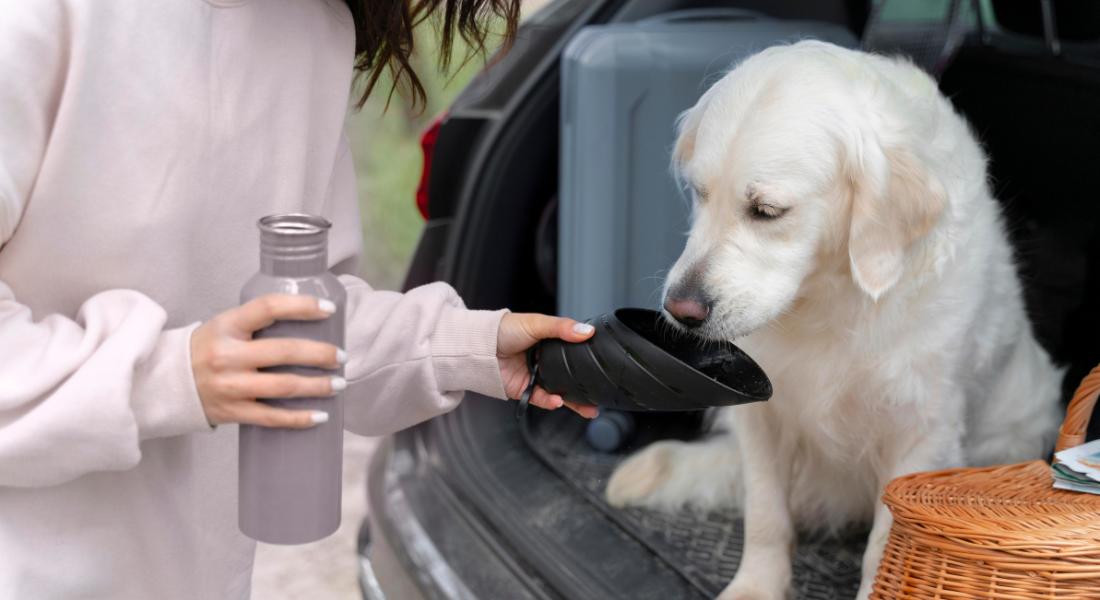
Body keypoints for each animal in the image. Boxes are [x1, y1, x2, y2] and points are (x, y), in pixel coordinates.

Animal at [607, 42, 1060, 598]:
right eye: (700, 193)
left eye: (767, 211)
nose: (680, 309)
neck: (830, 295)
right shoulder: (761, 415)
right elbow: (765, 514)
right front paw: (756, 585)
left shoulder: (922, 431)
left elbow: (886, 545)